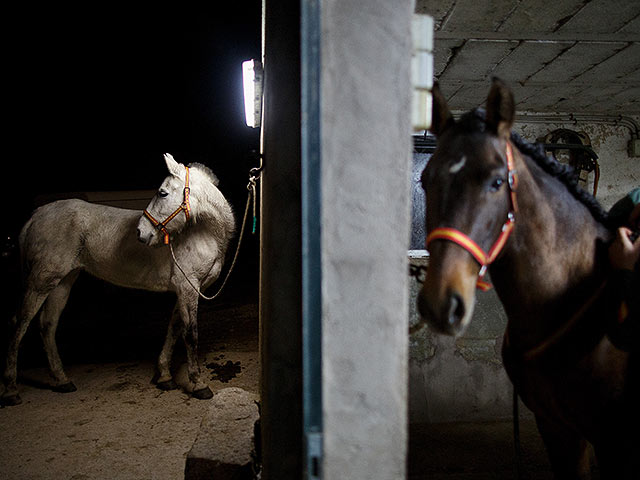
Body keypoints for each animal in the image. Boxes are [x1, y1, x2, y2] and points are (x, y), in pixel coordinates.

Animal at [1, 155, 236, 404]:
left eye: (162, 193)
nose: (140, 232)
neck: (206, 233)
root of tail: (35, 216)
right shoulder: (187, 288)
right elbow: (190, 334)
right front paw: (198, 384)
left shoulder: (185, 291)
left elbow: (174, 329)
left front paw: (164, 376)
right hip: (40, 281)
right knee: (20, 323)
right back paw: (11, 390)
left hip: (62, 281)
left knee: (47, 325)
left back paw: (61, 380)